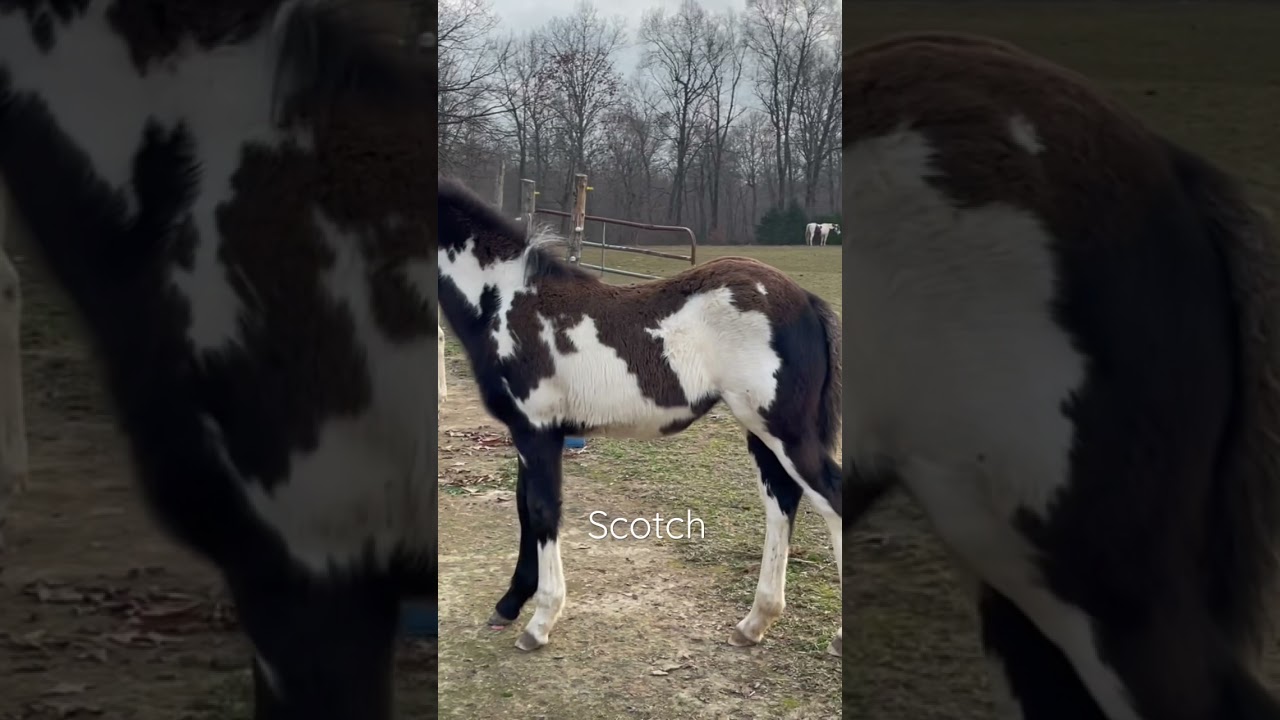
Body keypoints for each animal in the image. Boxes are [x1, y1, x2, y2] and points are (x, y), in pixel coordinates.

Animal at [437, 176, 844, 655]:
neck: (506, 302)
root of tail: (806, 301)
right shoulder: (526, 434)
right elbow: (524, 511)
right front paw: (510, 603)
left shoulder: (537, 432)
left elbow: (541, 511)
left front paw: (539, 622)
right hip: (762, 431)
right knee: (781, 502)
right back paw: (753, 623)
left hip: (785, 430)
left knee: (830, 500)